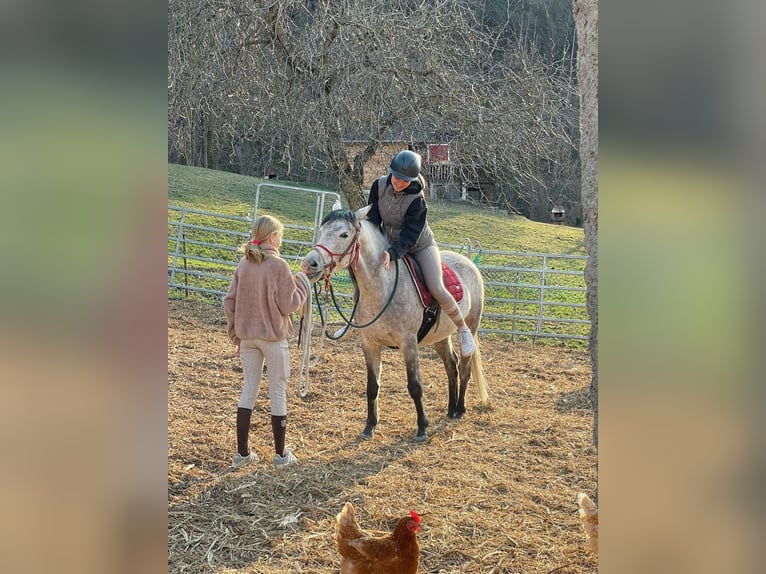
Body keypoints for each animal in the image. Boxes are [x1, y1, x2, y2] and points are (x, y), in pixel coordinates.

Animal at [300, 206, 489, 441]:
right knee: (451, 366)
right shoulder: (369, 344)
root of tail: (469, 263)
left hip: (471, 325)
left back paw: (460, 409)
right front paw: (369, 426)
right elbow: (372, 386)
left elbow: (415, 386)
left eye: (344, 234)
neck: (384, 285)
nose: (309, 264)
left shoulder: (409, 344)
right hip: (440, 337)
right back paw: (451, 409)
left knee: (464, 367)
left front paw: (422, 427)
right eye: (322, 230)